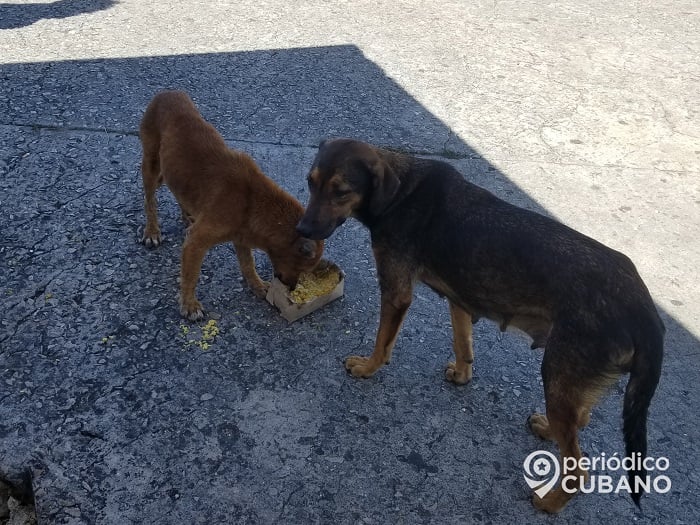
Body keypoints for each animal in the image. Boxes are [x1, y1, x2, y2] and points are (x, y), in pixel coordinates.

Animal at [294, 138, 660, 512]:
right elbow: (462, 342)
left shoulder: (397, 294)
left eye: (341, 191)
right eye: (310, 182)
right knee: (579, 419)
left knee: (578, 467)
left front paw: (367, 368)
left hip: (559, 373)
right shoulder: (460, 297)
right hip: (571, 381)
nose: (302, 232)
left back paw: (550, 502)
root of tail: (644, 311)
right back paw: (547, 429)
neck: (401, 193)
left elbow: (383, 343)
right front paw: (462, 375)